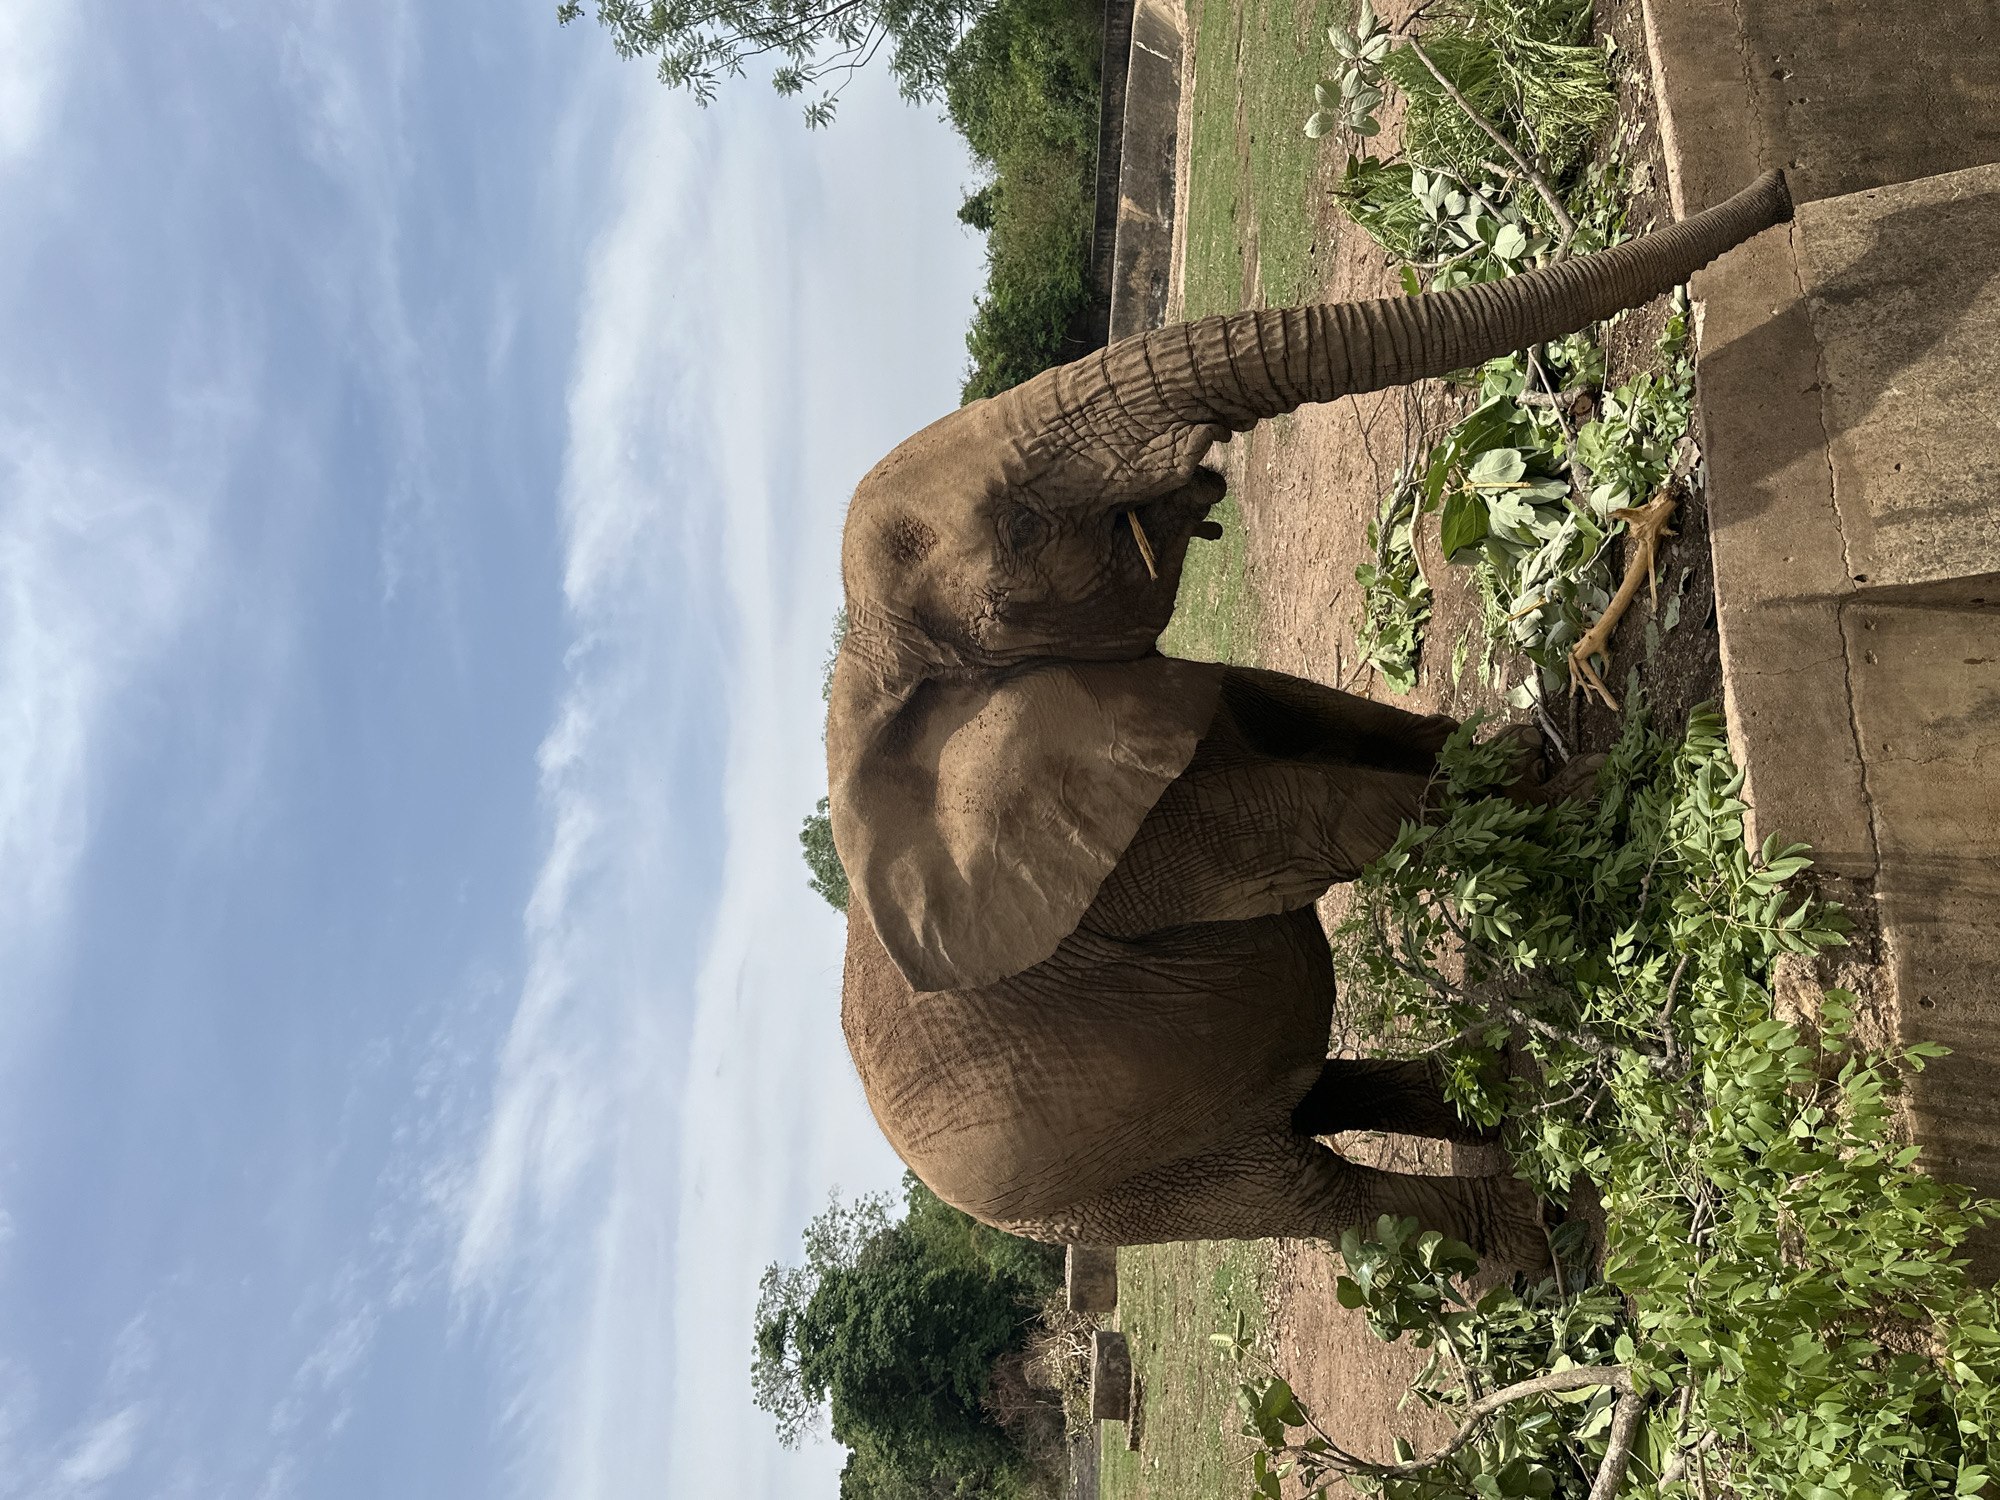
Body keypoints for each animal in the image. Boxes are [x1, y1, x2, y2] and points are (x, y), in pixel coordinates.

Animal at [829, 170, 1793, 1265]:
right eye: (1022, 530)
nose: (1778, 192)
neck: (872, 669)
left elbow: (1308, 709)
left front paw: (1511, 762)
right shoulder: (1115, 852)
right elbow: (1318, 813)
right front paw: (1582, 793)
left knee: (1315, 1090)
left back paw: (1506, 1092)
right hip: (1113, 1184)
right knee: (1298, 1188)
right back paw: (1532, 1226)